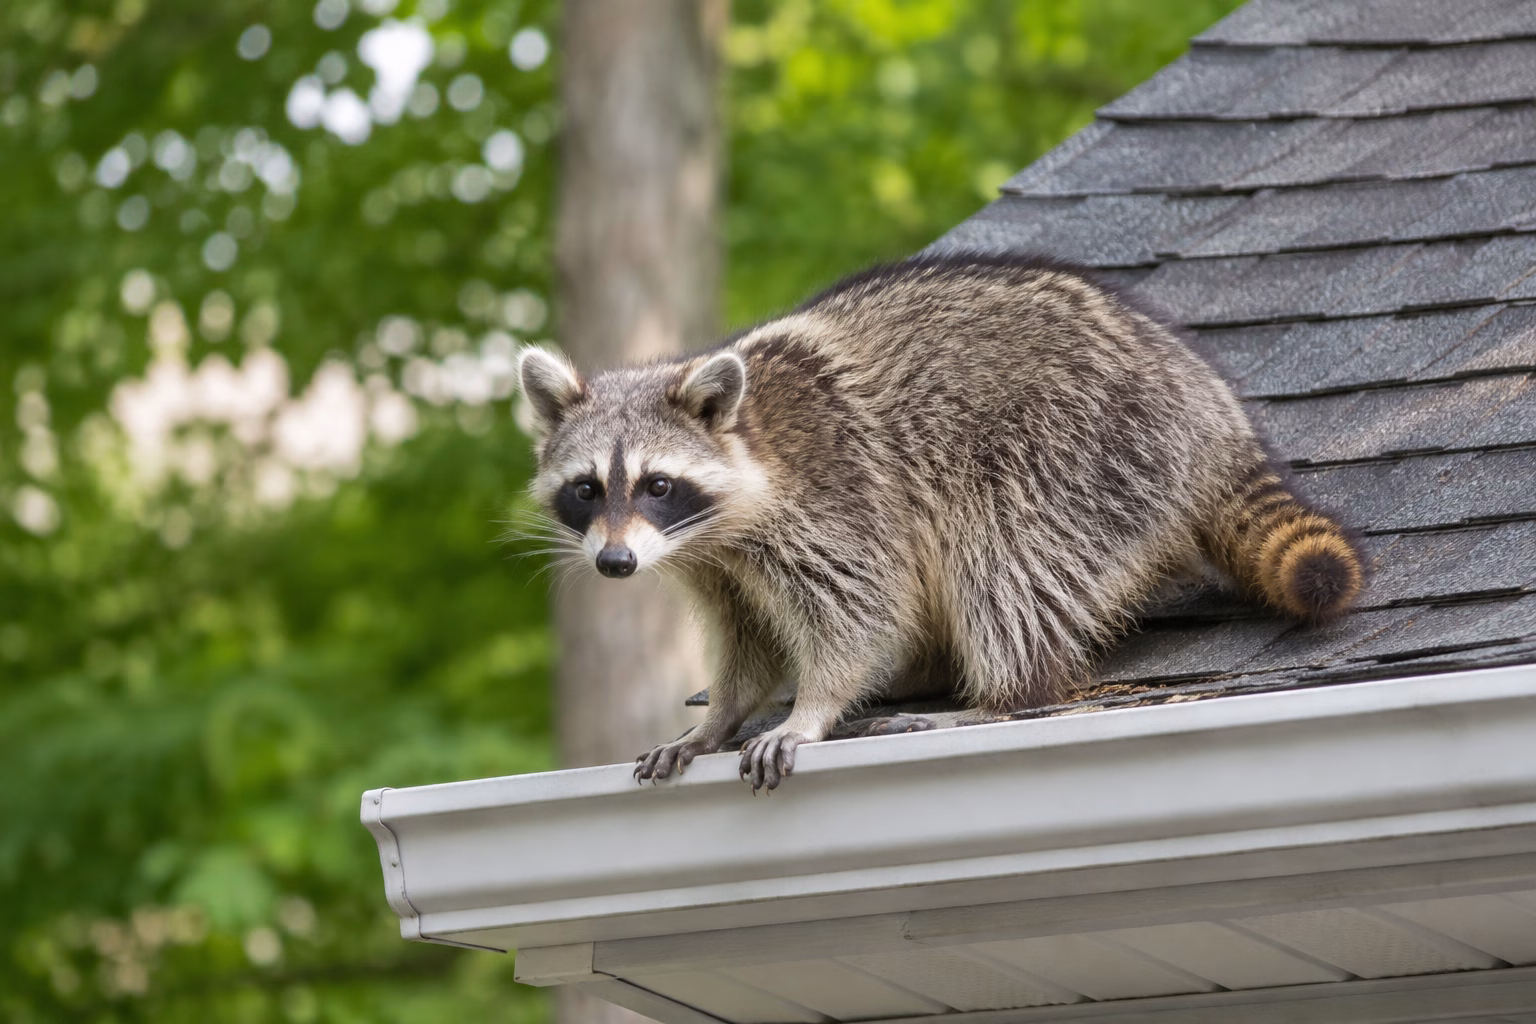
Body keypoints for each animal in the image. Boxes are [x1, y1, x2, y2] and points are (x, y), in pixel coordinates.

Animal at [518, 256, 1365, 792]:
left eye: (657, 484)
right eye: (588, 490)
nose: (615, 565)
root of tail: (1209, 402)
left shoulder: (836, 497)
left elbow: (862, 613)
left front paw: (812, 709)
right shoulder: (717, 565)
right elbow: (746, 641)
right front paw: (715, 720)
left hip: (1082, 446)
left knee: (1006, 559)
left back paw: (1002, 695)